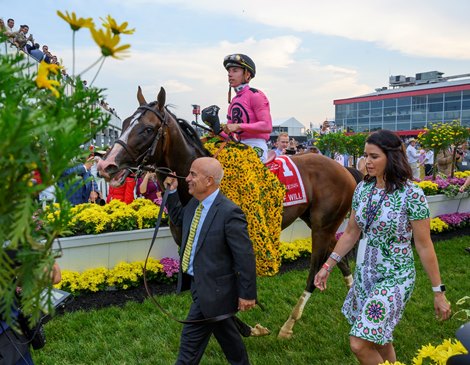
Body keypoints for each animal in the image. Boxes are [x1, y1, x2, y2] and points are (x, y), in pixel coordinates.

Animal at [94, 86, 360, 336]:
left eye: (148, 129)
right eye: (124, 123)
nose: (106, 165)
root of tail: (346, 170)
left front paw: (248, 327)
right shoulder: (186, 243)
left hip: (322, 226)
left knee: (316, 268)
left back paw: (289, 324)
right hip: (317, 222)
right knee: (339, 258)